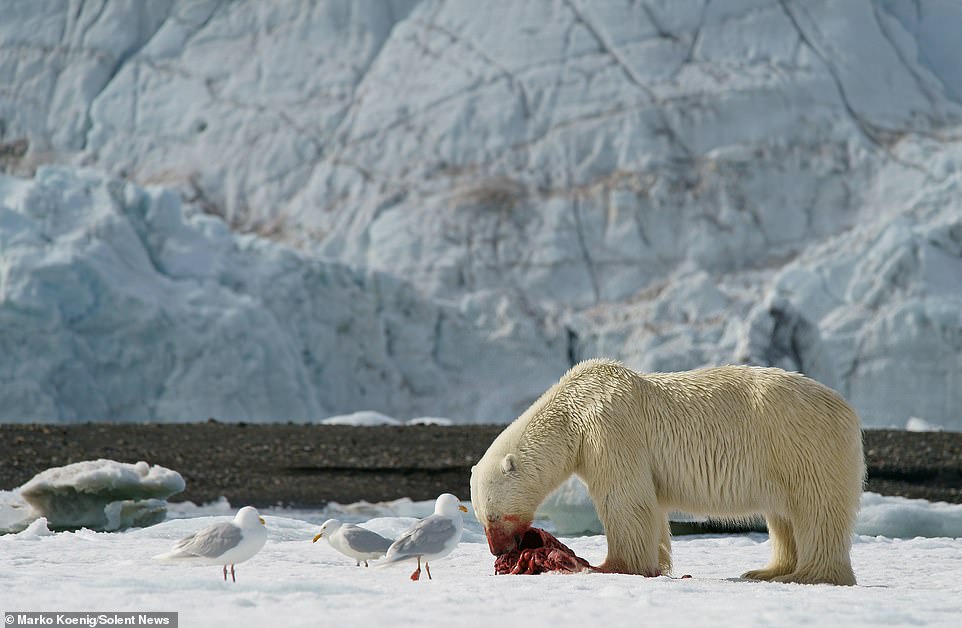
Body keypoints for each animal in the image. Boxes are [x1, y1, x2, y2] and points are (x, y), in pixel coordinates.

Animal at [470, 360, 864, 588]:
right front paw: (657, 563)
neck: (574, 408)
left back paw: (810, 575)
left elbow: (625, 499)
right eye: (481, 518)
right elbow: (651, 506)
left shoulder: (609, 429)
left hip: (801, 443)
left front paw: (606, 566)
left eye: (495, 515)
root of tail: (847, 409)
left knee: (816, 509)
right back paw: (767, 571)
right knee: (783, 517)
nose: (498, 551)